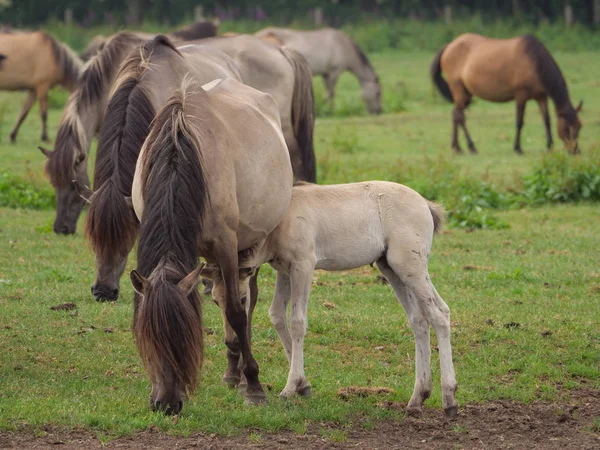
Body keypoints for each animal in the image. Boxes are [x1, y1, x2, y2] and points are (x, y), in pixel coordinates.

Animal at [128, 75, 292, 414]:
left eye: (183, 337)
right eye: (148, 338)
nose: (166, 404)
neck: (181, 148)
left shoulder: (227, 244)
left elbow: (236, 311)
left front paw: (254, 386)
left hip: (248, 246)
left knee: (245, 299)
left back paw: (243, 376)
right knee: (222, 294)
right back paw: (232, 372)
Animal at [204, 180, 458, 418]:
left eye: (243, 299)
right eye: (215, 300)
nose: (232, 342)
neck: (280, 220)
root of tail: (425, 204)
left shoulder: (303, 267)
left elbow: (297, 321)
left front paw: (290, 387)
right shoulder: (284, 270)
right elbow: (276, 315)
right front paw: (303, 385)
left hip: (409, 266)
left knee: (439, 314)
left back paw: (449, 399)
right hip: (390, 268)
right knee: (419, 319)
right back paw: (418, 397)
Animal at [432, 33, 580, 155]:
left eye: (579, 126)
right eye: (567, 128)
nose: (575, 151)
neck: (534, 60)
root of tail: (448, 46)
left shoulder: (541, 97)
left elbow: (546, 121)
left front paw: (549, 146)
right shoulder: (521, 96)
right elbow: (519, 122)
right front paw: (518, 148)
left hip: (466, 93)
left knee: (456, 115)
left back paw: (457, 147)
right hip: (458, 90)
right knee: (459, 116)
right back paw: (468, 147)